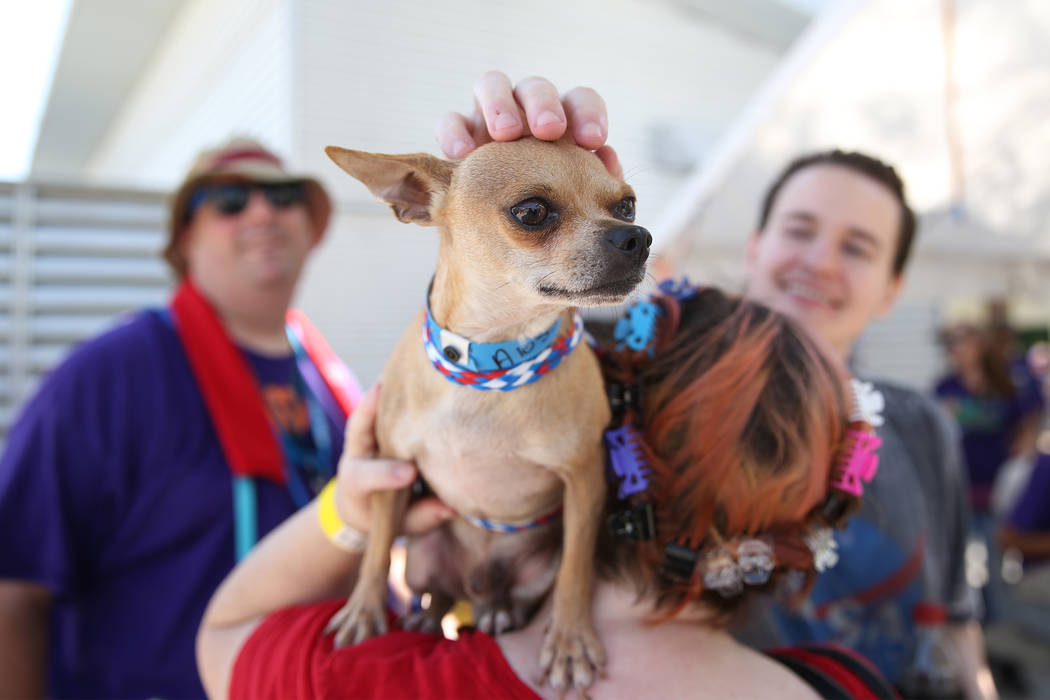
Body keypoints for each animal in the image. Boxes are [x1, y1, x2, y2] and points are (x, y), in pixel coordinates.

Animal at [323, 139, 646, 692]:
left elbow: (576, 570)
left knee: (508, 594)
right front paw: (364, 610)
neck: (493, 359)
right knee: (439, 591)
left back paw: (497, 610)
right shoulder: (392, 468)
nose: (638, 236)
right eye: (532, 211)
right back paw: (430, 615)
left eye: (626, 205)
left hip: (532, 569)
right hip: (423, 555)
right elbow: (378, 547)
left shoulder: (583, 481)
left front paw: (570, 640)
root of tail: (476, 584)